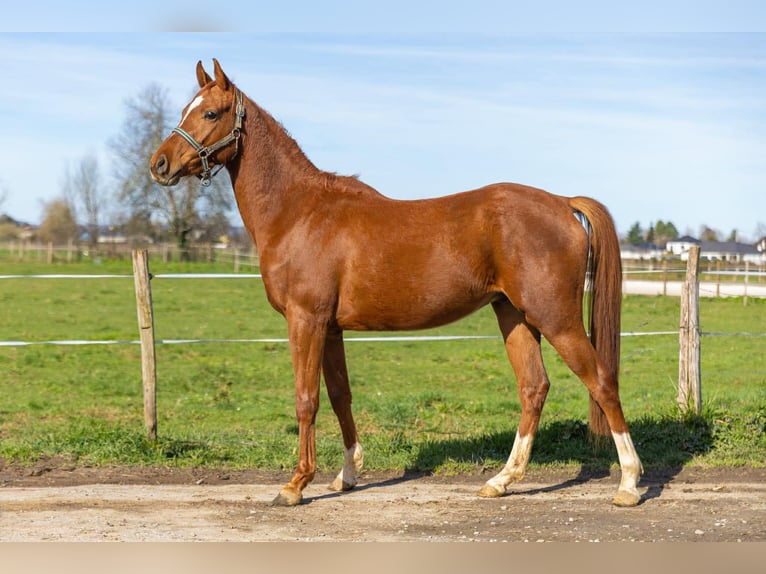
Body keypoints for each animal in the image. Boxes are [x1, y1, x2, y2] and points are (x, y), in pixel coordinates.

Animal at [150, 59, 643, 508]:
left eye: (210, 113)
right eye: (185, 109)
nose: (159, 164)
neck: (300, 211)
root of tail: (562, 202)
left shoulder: (305, 320)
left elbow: (306, 398)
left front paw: (296, 484)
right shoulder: (331, 328)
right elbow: (340, 395)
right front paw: (347, 475)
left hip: (556, 318)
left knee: (602, 381)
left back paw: (628, 484)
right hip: (514, 315)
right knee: (533, 388)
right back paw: (502, 480)